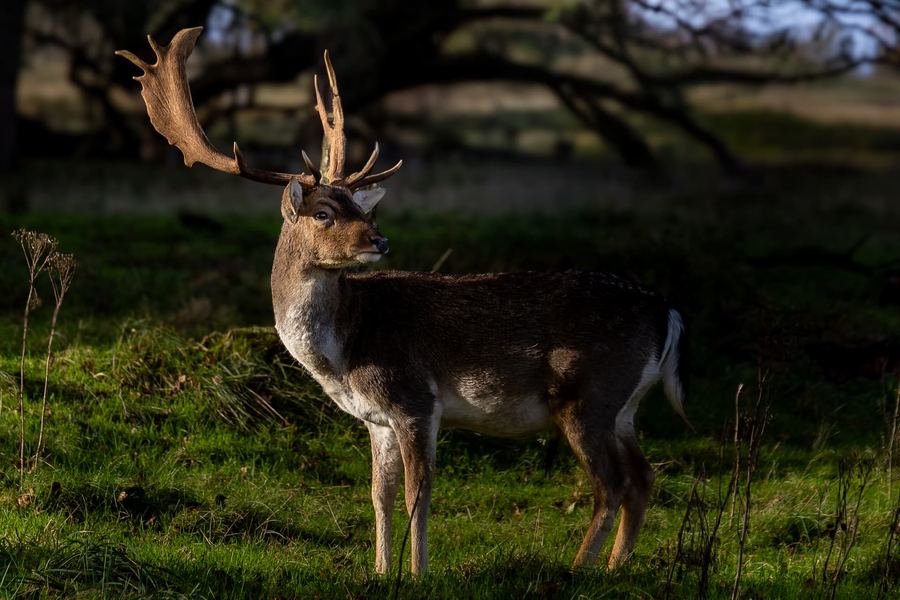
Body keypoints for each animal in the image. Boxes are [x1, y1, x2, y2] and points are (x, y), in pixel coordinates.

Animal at [117, 27, 689, 576]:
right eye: (325, 212)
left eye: (361, 208)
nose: (380, 240)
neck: (342, 354)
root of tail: (669, 313)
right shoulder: (377, 419)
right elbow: (379, 495)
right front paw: (377, 569)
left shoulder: (415, 398)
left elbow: (420, 494)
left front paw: (416, 574)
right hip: (624, 405)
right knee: (643, 477)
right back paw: (615, 567)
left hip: (587, 394)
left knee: (612, 484)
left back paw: (579, 569)